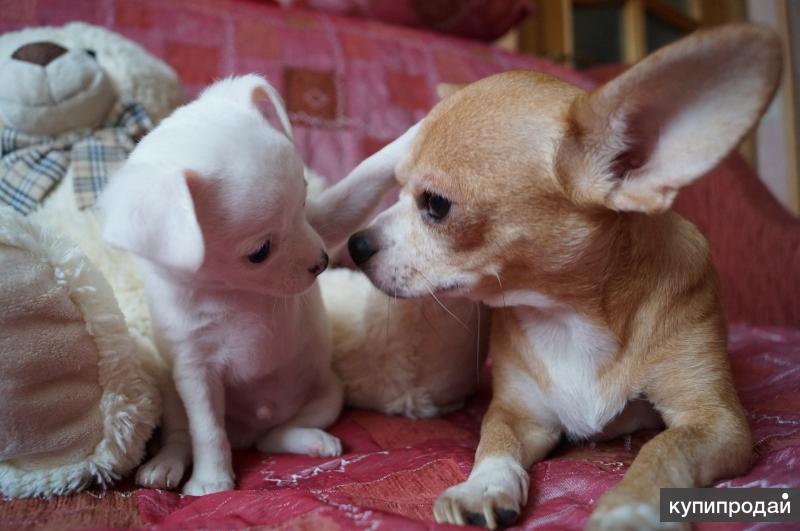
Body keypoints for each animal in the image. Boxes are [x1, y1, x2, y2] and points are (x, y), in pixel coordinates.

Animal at [100, 74, 418, 494]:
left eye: (304, 205)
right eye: (260, 252)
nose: (322, 262)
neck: (233, 291)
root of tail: (247, 434)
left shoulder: (324, 221)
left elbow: (361, 181)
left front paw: (412, 136)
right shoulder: (194, 370)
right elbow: (207, 431)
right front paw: (212, 481)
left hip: (328, 393)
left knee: (275, 436)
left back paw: (310, 440)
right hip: (172, 394)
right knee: (185, 435)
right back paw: (165, 464)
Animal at [348, 26, 780, 531]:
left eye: (436, 204)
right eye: (395, 185)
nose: (356, 244)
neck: (570, 316)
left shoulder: (715, 420)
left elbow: (662, 449)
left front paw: (630, 509)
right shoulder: (519, 414)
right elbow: (492, 444)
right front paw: (483, 487)